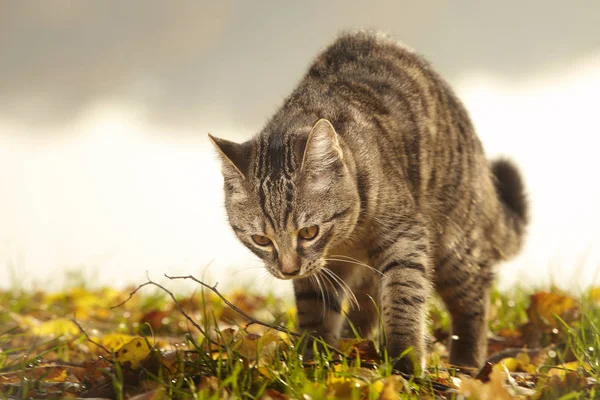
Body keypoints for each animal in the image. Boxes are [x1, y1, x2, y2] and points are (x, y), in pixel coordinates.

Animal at [209, 31, 528, 376]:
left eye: (308, 232)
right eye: (261, 239)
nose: (288, 270)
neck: (345, 240)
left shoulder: (405, 239)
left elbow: (403, 298)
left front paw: (404, 363)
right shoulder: (318, 273)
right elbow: (315, 310)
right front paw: (313, 359)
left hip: (453, 244)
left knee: (475, 292)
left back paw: (466, 363)